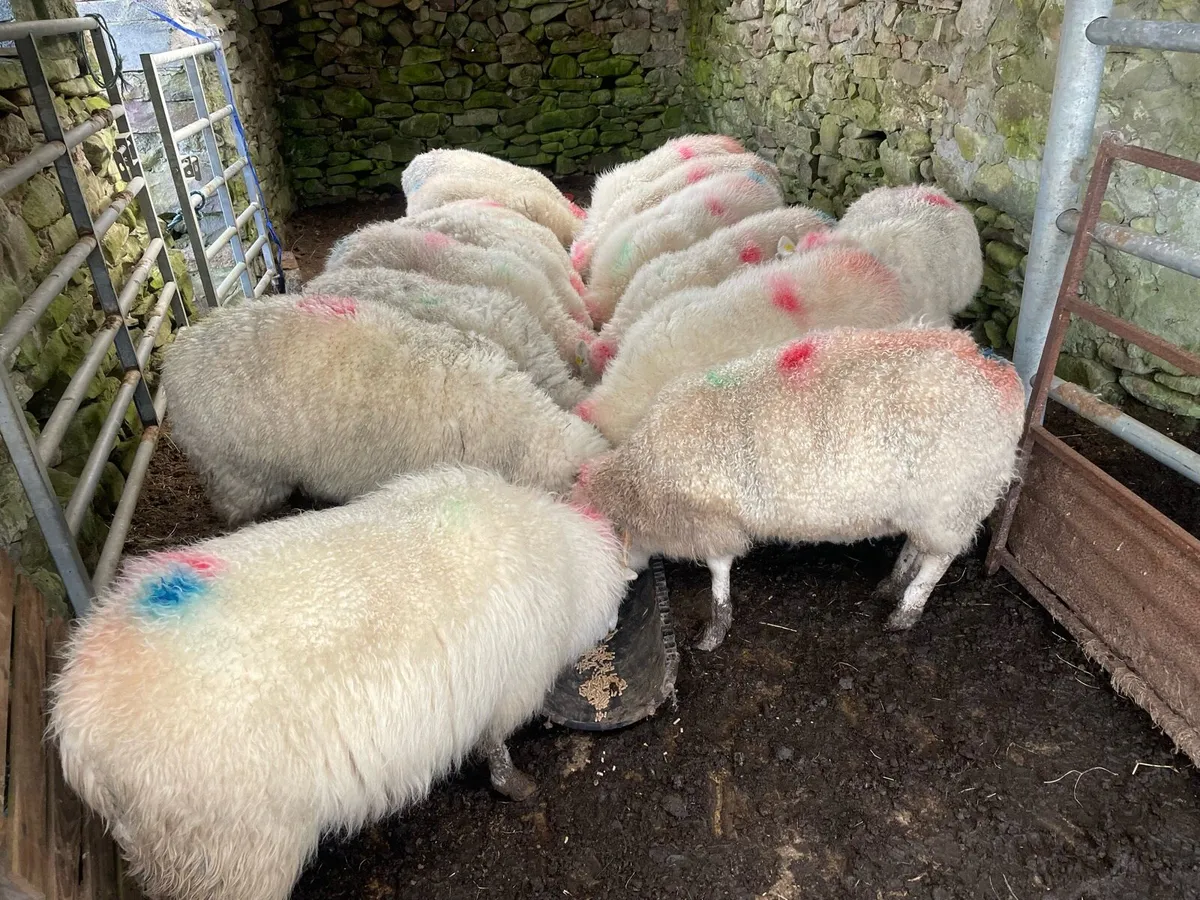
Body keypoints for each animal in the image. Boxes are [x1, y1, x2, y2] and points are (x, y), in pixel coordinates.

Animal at [50, 465, 636, 900]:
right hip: (230, 855)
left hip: (171, 853)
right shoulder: (507, 692)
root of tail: (77, 726)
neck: (560, 551)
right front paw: (517, 788)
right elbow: (496, 748)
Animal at [573, 326, 1026, 650]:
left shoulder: (711, 521)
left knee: (939, 559)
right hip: (928, 503)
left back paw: (906, 610)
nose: (603, 636)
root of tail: (1001, 372)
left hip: (955, 497)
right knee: (918, 543)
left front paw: (715, 627)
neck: (640, 476)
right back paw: (893, 583)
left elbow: (718, 571)